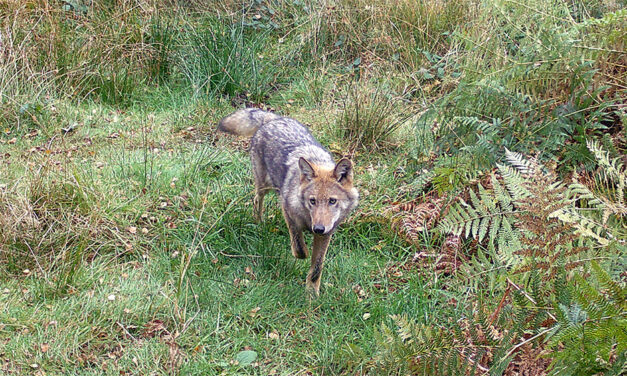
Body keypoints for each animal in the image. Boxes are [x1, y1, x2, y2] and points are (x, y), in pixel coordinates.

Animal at [220, 107, 358, 296]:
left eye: (332, 201)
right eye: (312, 201)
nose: (318, 228)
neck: (309, 220)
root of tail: (273, 119)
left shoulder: (327, 234)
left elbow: (317, 268)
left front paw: (312, 294)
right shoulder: (287, 210)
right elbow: (300, 248)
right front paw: (302, 254)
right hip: (266, 186)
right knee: (256, 200)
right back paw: (258, 222)